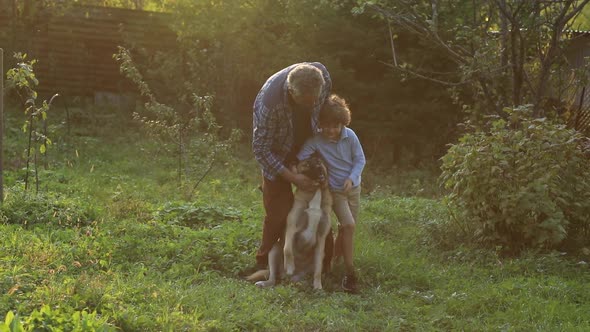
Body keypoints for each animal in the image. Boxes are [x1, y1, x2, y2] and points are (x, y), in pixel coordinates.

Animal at [249, 157, 332, 290]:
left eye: (319, 161)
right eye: (307, 164)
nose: (318, 165)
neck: (316, 190)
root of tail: (286, 278)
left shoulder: (321, 238)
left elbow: (318, 270)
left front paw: (318, 286)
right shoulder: (292, 227)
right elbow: (287, 249)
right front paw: (289, 266)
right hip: (274, 250)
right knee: (272, 278)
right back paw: (265, 282)